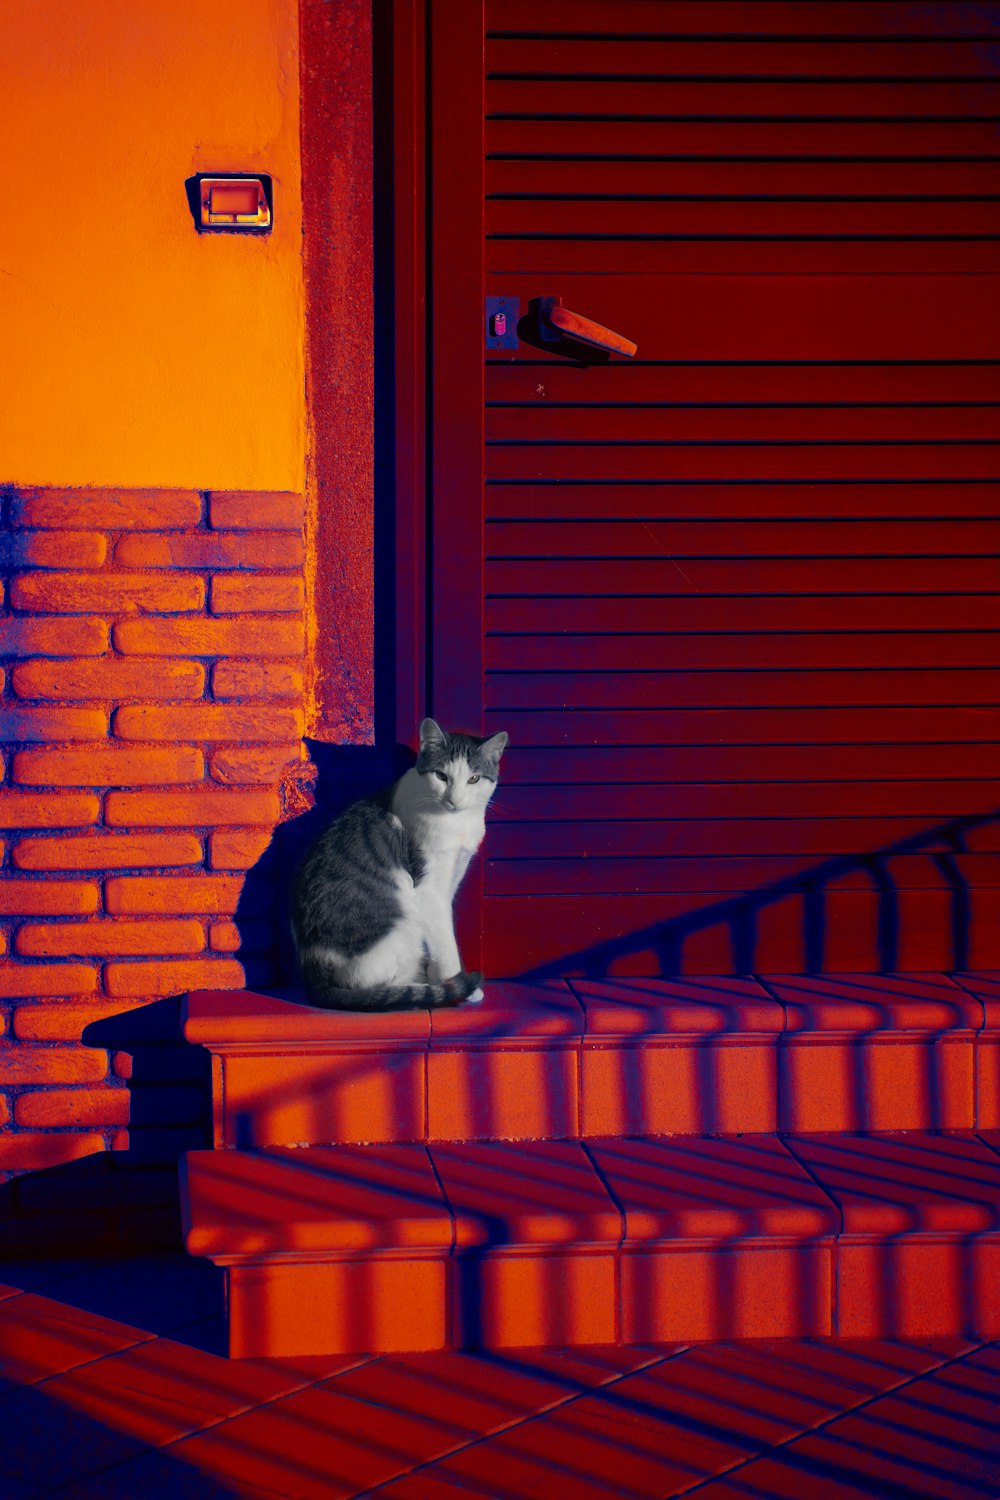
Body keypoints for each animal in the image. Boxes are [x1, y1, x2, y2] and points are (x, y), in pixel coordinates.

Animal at [289, 720, 509, 1014]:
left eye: (473, 779)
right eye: (441, 776)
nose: (454, 799)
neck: (457, 822)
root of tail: (312, 969)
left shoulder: (452, 878)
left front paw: (443, 978)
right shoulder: (428, 890)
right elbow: (445, 940)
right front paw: (456, 983)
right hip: (403, 922)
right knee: (370, 985)